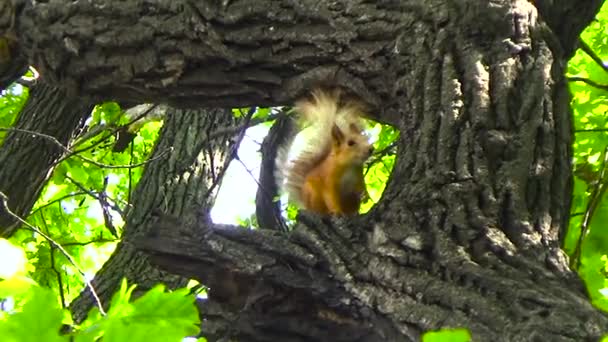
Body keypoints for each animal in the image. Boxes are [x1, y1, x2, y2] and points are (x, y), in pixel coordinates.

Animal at [276, 87, 372, 215]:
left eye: (365, 138)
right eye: (351, 143)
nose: (371, 149)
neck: (349, 166)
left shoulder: (358, 177)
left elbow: (361, 188)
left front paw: (365, 196)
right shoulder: (328, 180)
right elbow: (330, 197)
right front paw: (336, 211)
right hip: (313, 196)